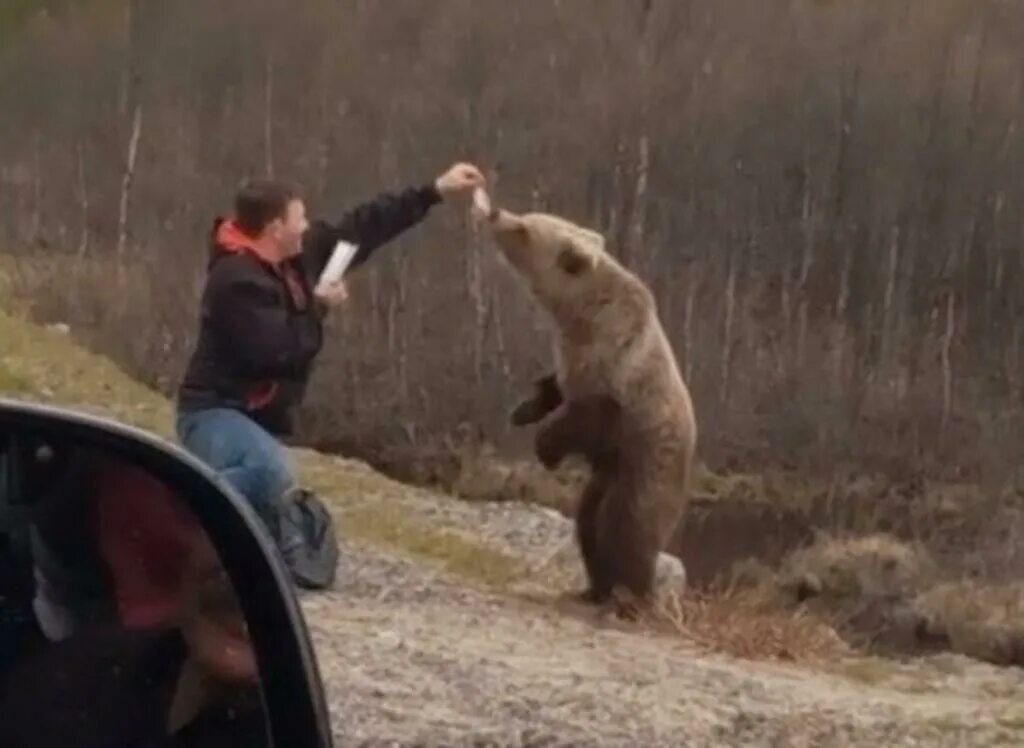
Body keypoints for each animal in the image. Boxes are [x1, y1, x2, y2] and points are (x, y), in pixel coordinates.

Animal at [475, 195, 700, 614]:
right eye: (528, 217)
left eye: (524, 229)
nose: (496, 213)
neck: (579, 316)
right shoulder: (572, 356)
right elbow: (555, 388)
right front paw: (523, 410)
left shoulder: (615, 374)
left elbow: (584, 415)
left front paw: (545, 448)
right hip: (604, 479)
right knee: (588, 524)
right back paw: (593, 589)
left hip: (641, 474)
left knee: (624, 529)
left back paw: (629, 596)